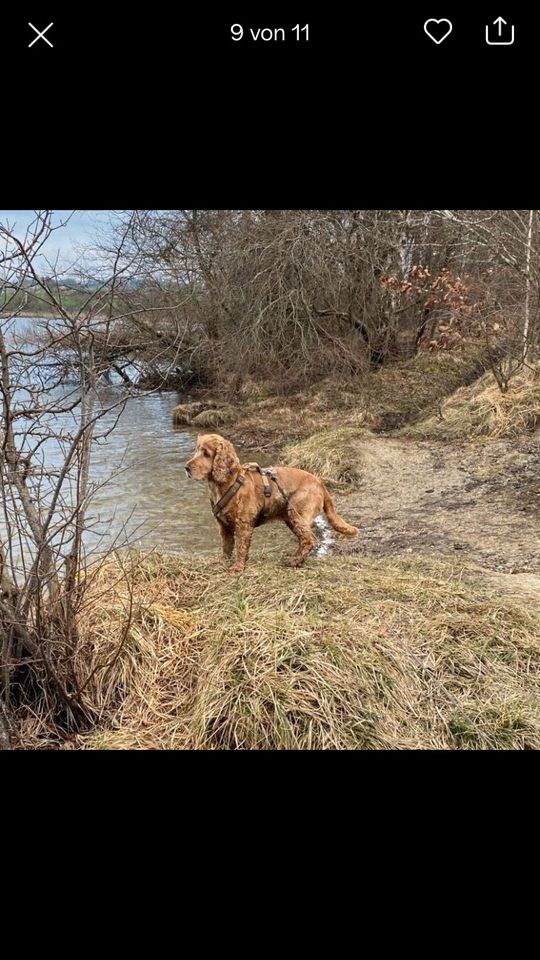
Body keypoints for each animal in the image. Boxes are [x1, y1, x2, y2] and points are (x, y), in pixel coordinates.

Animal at [186, 434, 358, 572]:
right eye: (196, 450)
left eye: (206, 453)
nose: (186, 467)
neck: (228, 483)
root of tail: (320, 483)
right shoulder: (223, 526)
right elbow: (227, 546)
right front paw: (222, 563)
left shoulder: (243, 523)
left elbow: (241, 546)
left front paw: (237, 567)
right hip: (291, 518)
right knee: (304, 540)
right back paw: (295, 560)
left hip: (296, 513)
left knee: (310, 540)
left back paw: (294, 561)